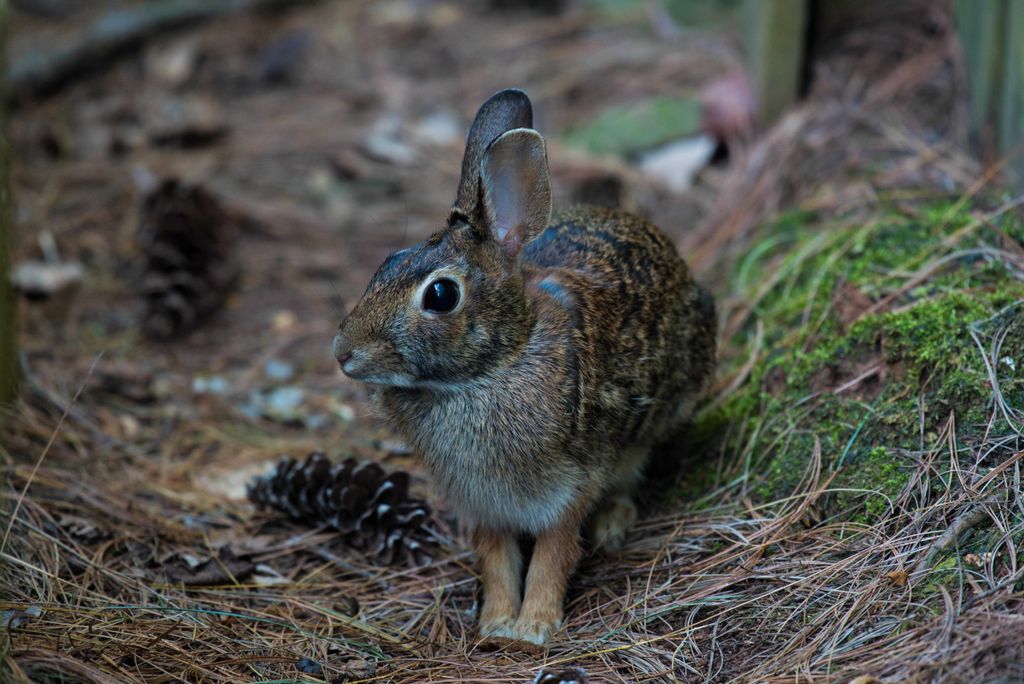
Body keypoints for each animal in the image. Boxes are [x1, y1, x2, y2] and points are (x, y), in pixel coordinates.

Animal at [333, 89, 716, 646]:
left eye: (440, 295)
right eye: (388, 261)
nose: (343, 352)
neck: (492, 368)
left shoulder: (569, 486)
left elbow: (552, 555)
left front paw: (534, 628)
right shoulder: (481, 505)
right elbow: (496, 560)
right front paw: (495, 625)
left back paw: (612, 525)